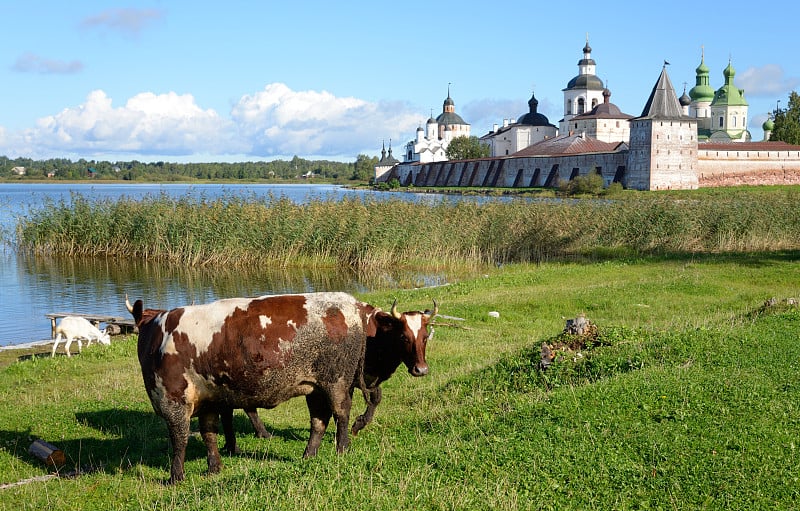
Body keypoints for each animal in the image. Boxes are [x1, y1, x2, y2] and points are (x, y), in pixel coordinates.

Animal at [127, 292, 434, 484]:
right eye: (404, 336)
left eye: (423, 337)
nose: (421, 368)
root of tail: (347, 304)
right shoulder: (209, 399)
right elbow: (209, 434)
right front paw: (214, 468)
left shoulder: (173, 399)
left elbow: (179, 440)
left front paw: (175, 477)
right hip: (316, 387)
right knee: (319, 421)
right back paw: (309, 454)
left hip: (335, 381)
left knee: (341, 414)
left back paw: (342, 447)